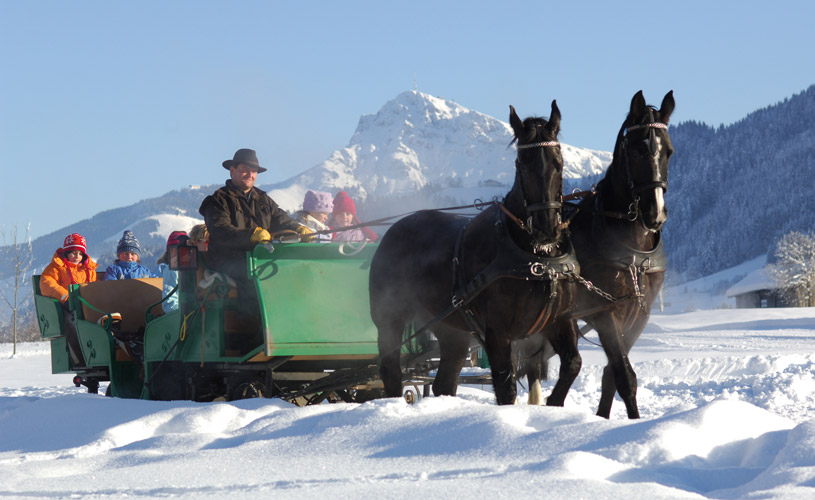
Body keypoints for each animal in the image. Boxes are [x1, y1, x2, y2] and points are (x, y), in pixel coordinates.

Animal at [370, 101, 580, 406]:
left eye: (559, 162)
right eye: (522, 164)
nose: (547, 227)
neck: (534, 258)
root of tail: (393, 230)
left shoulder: (559, 321)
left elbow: (572, 364)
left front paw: (553, 403)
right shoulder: (497, 331)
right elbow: (506, 388)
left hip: (451, 330)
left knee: (444, 381)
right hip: (390, 319)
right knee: (391, 370)